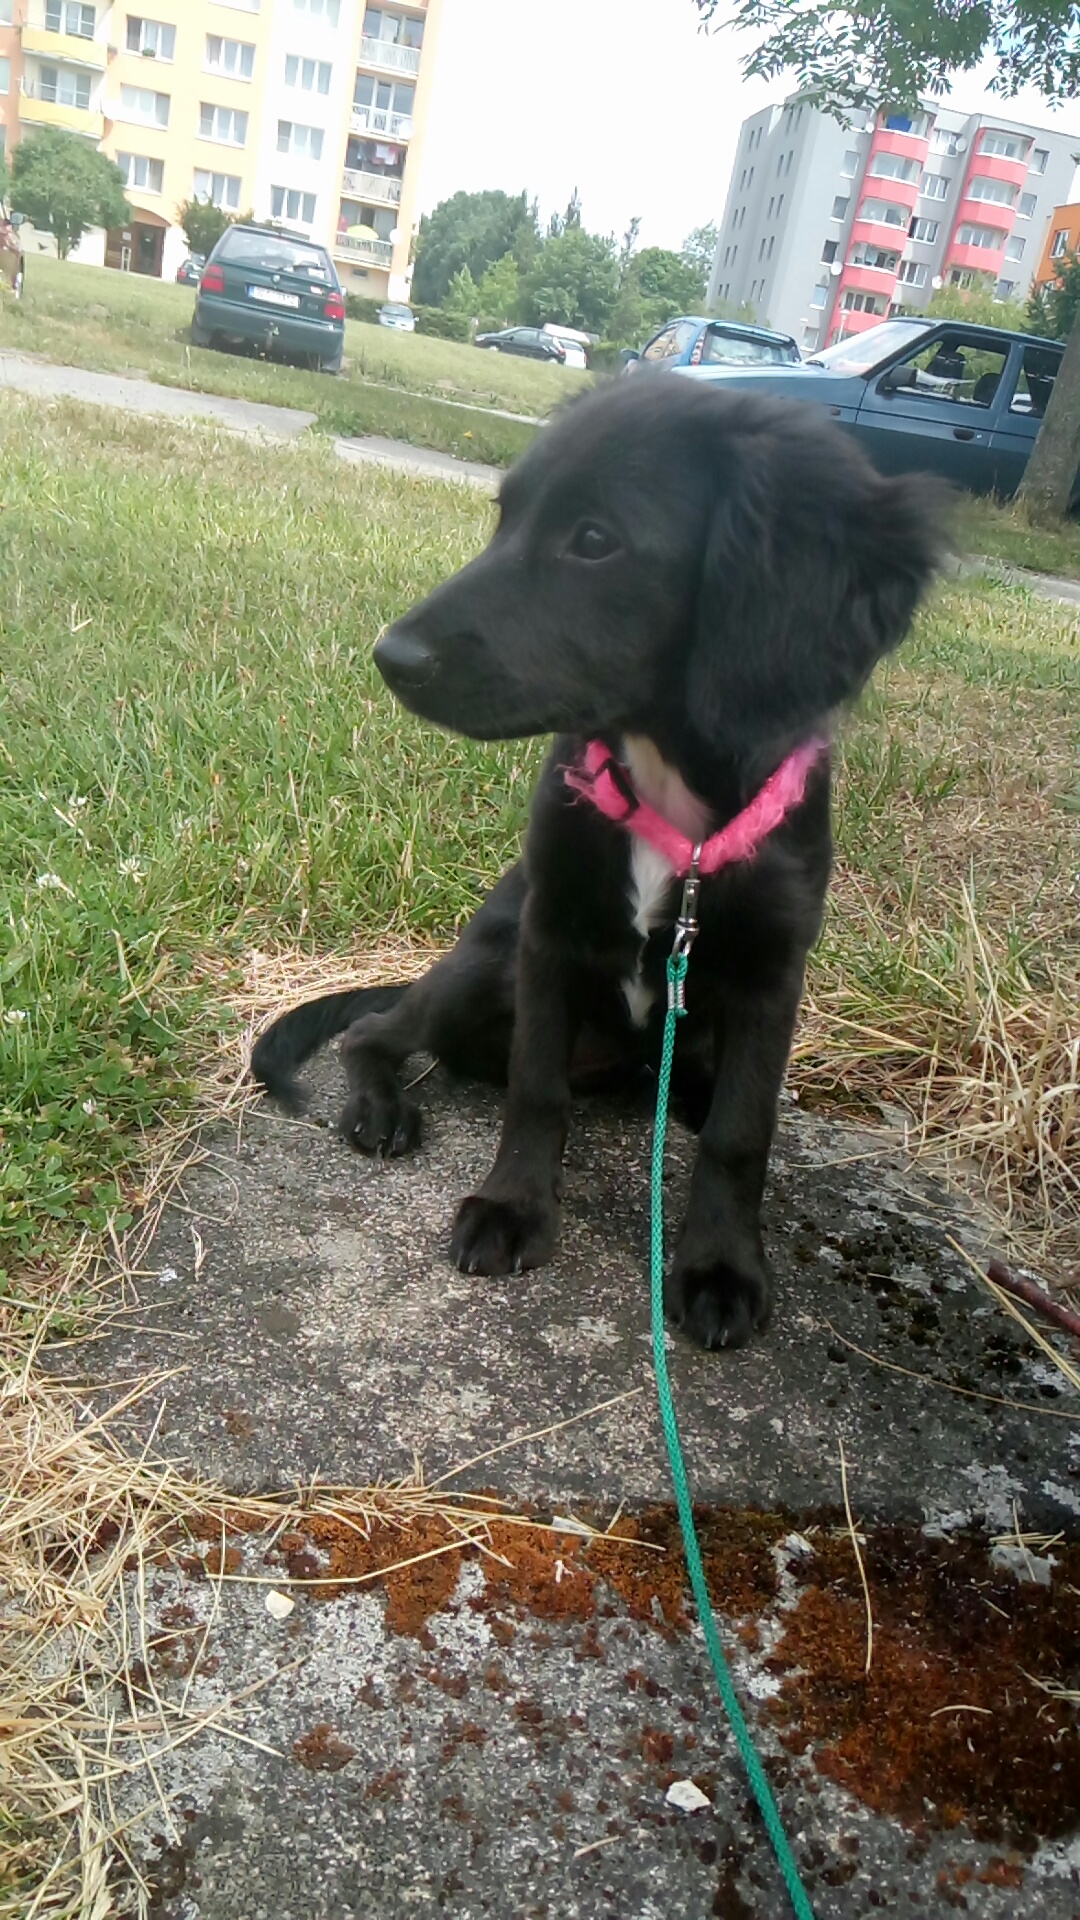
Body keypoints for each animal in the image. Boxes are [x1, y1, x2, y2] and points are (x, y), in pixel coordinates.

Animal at [252, 376, 945, 1349]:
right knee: (375, 1031)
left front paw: (720, 1264)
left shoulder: (772, 975)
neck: (670, 801)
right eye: (503, 516)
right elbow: (536, 1087)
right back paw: (381, 1105)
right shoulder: (549, 937)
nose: (392, 658)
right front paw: (513, 1207)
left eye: (593, 540)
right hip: (486, 964)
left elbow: (742, 1131)